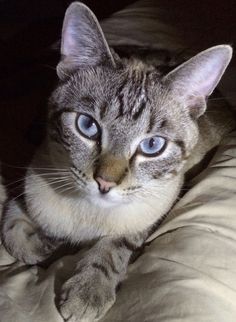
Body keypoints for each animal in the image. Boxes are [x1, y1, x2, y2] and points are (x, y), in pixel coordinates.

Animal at [0, 1, 236, 320]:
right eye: (87, 126)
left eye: (152, 145)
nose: (104, 182)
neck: (86, 216)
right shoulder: (28, 184)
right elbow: (13, 234)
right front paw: (46, 245)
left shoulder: (156, 209)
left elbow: (115, 244)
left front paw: (87, 292)